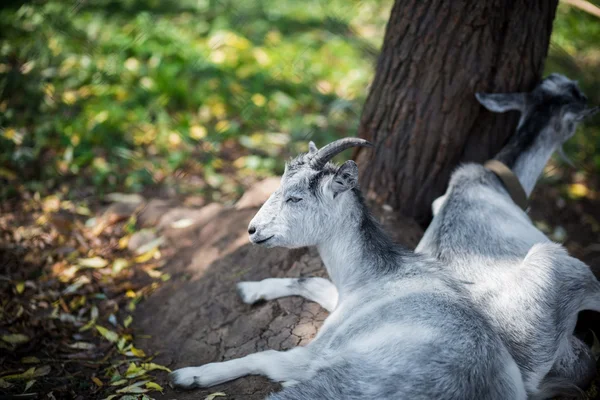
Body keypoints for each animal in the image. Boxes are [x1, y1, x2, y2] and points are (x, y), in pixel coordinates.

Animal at [169, 138, 524, 400]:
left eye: (296, 198)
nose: (253, 230)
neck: (377, 275)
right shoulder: (342, 299)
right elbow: (309, 280)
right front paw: (250, 289)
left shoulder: (317, 349)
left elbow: (263, 357)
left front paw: (189, 375)